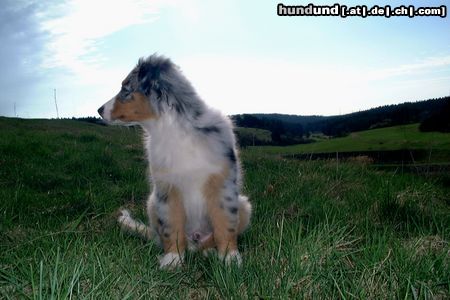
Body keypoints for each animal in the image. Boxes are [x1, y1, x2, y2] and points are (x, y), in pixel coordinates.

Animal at [97, 54, 251, 270]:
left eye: (126, 89)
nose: (99, 110)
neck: (174, 129)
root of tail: (195, 238)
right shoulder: (167, 187)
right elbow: (171, 226)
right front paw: (172, 259)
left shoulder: (223, 183)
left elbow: (225, 223)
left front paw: (230, 258)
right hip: (152, 203)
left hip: (244, 205)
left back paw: (210, 251)